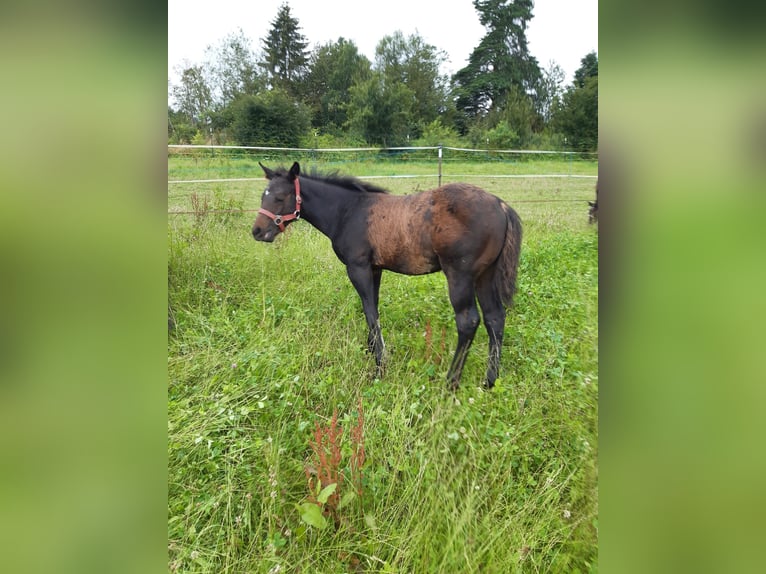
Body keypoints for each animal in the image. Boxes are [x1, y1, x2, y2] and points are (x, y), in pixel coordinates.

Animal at [252, 162, 520, 392]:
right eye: (263, 196)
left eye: (280, 197)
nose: (257, 231)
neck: (347, 211)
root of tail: (501, 205)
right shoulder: (375, 268)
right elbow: (373, 308)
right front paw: (371, 351)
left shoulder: (357, 267)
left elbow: (370, 312)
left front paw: (380, 366)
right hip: (485, 275)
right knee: (495, 317)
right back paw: (489, 381)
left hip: (460, 275)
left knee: (468, 321)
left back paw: (451, 381)